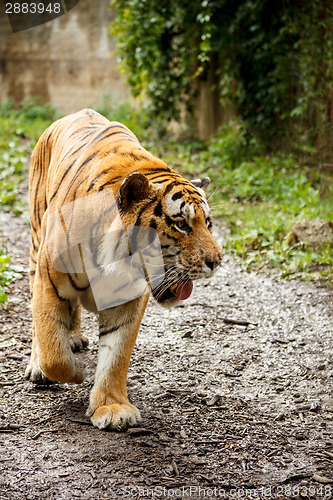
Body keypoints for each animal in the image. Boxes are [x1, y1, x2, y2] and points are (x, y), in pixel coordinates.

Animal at [24, 108, 222, 430]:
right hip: (34, 245)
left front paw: (112, 407)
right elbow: (53, 349)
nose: (216, 261)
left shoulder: (127, 301)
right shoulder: (47, 281)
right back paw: (38, 364)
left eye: (208, 223)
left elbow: (116, 355)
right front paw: (75, 374)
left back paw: (74, 338)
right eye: (181, 224)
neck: (113, 259)